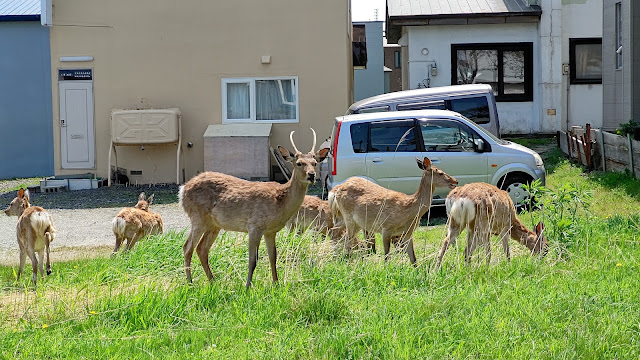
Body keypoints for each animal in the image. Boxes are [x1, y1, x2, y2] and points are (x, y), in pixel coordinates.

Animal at [180, 128, 330, 288]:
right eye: (299, 163)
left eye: (315, 163)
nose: (311, 175)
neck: (280, 202)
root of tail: (183, 190)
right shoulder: (254, 226)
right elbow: (253, 260)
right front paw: (247, 287)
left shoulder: (270, 231)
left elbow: (273, 257)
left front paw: (276, 284)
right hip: (197, 216)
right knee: (187, 247)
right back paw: (190, 283)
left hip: (214, 224)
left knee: (201, 249)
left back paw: (213, 281)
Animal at [328, 158, 458, 264]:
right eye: (440, 173)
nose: (455, 181)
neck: (409, 210)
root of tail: (336, 190)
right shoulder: (386, 227)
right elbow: (386, 256)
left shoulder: (407, 233)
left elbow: (413, 259)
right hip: (348, 216)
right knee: (343, 237)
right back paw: (343, 258)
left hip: (357, 222)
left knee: (342, 235)